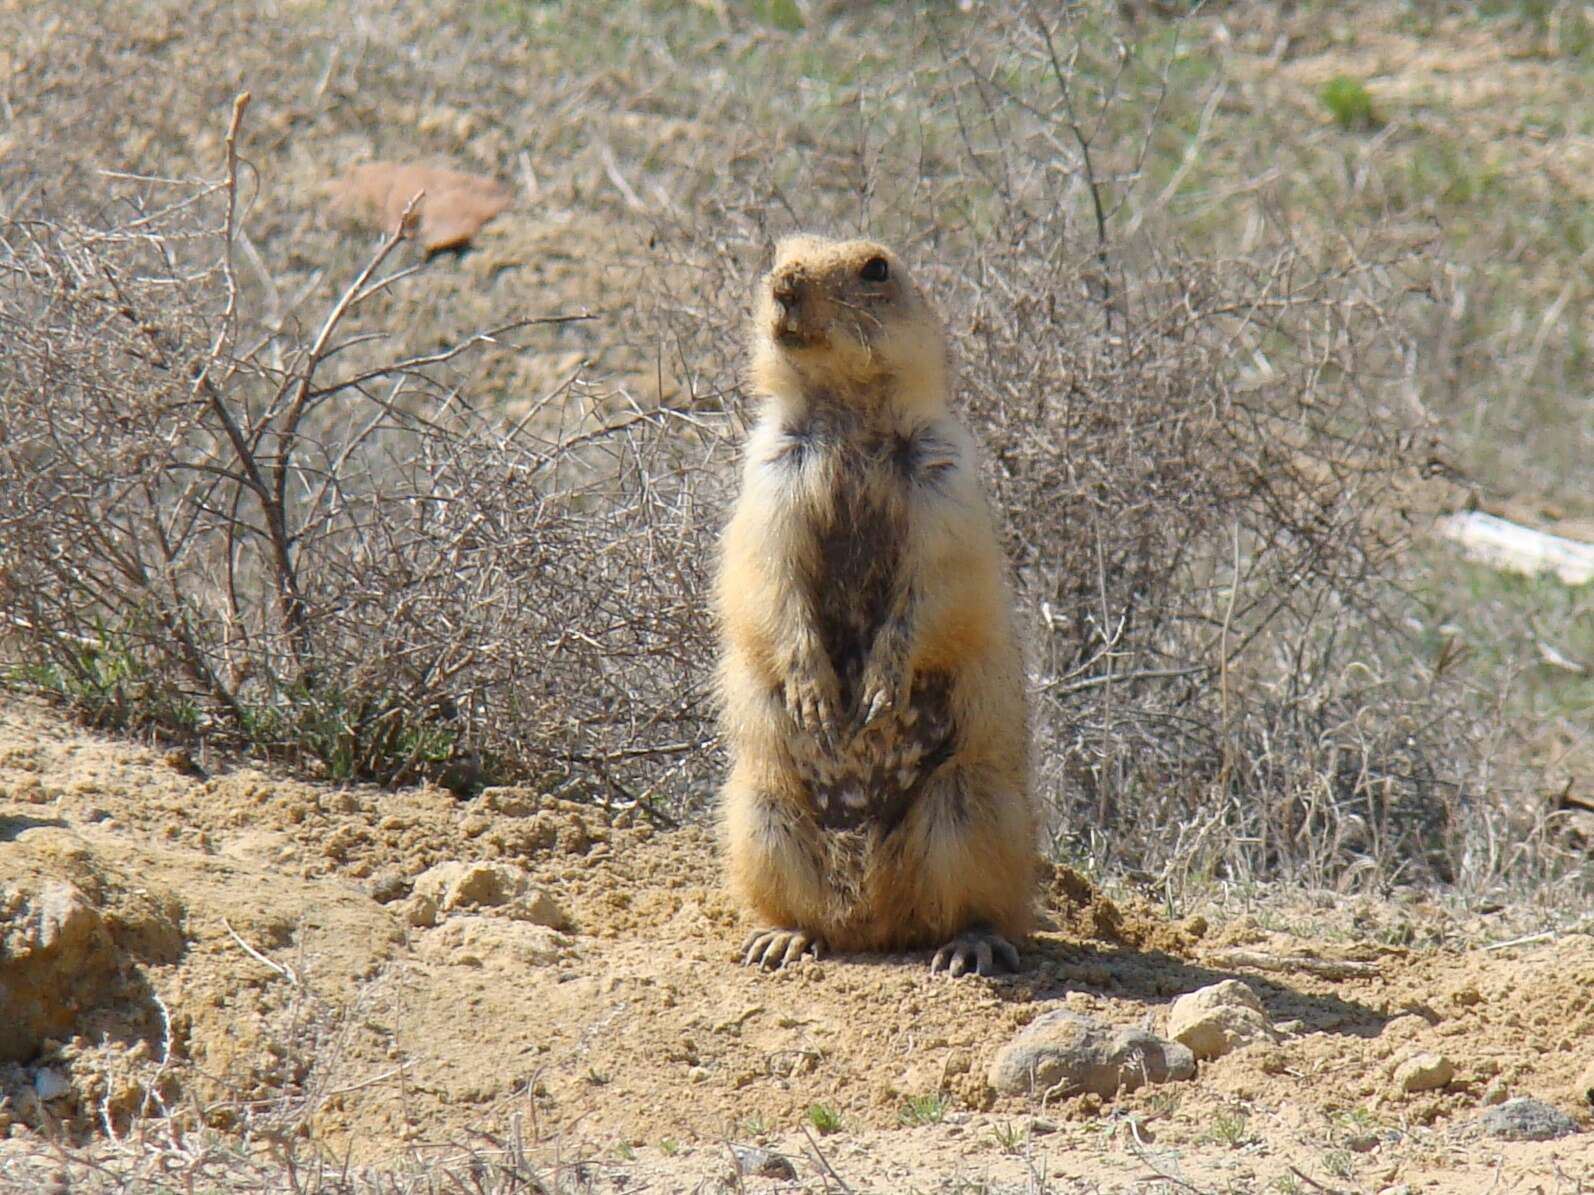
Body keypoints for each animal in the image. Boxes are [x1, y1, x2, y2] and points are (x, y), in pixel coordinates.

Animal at [717, 235, 1039, 981]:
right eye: (778, 250)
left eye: (875, 268)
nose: (784, 282)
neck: (848, 413)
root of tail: (876, 918)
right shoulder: (767, 478)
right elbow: (767, 578)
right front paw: (813, 693)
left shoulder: (945, 483)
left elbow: (937, 589)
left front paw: (878, 693)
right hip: (762, 809)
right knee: (806, 908)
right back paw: (781, 938)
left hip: (971, 805)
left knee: (974, 906)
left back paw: (970, 946)